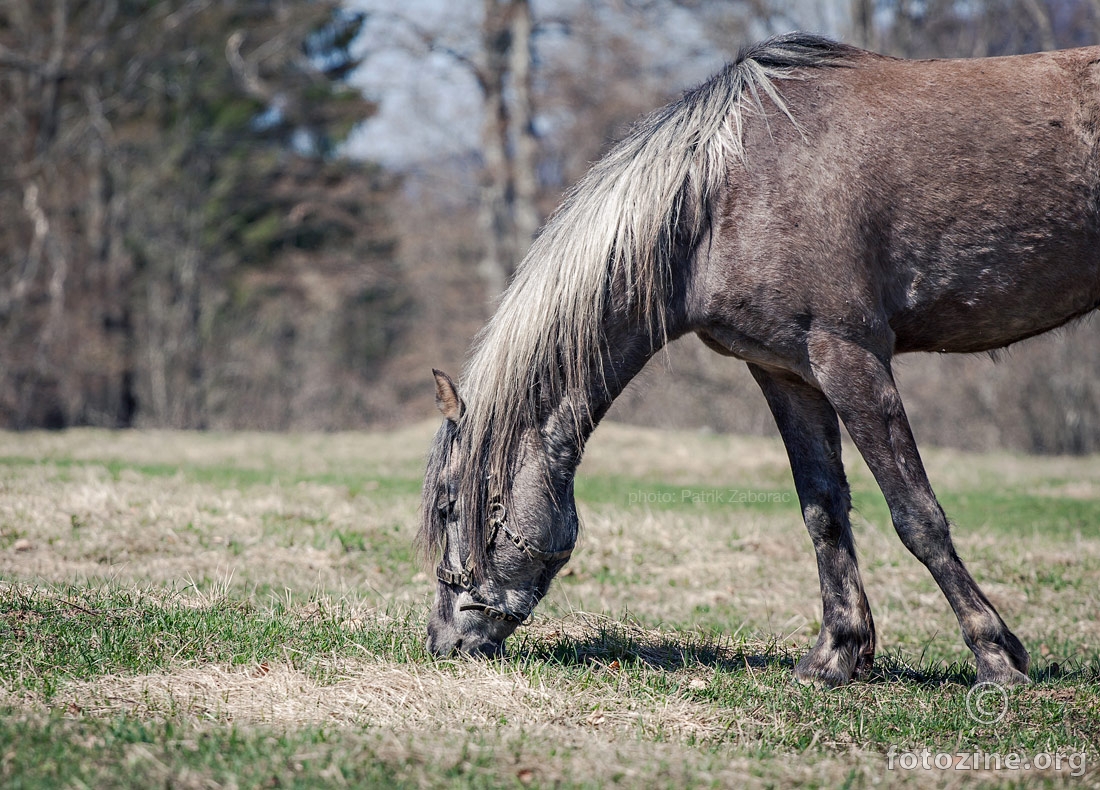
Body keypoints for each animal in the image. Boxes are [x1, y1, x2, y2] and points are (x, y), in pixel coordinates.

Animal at [418, 32, 1100, 686]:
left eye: (451, 507)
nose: (445, 642)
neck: (721, 199)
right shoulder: (787, 372)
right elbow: (822, 510)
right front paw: (834, 657)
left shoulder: (850, 358)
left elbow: (917, 515)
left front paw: (996, 658)